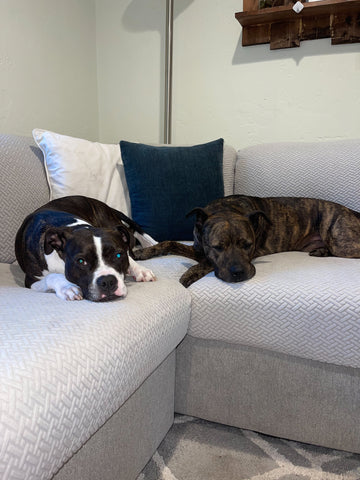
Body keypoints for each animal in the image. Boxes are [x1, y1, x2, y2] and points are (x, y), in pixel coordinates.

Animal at [14, 195, 155, 300]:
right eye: (81, 261)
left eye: (118, 255)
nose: (108, 281)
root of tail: (104, 205)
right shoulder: (31, 280)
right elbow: (51, 276)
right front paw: (68, 287)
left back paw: (140, 269)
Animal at [133, 194, 360, 286]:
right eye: (218, 246)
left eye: (248, 245)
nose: (238, 273)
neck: (227, 209)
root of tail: (353, 212)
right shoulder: (198, 247)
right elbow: (168, 243)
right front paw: (141, 252)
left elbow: (206, 262)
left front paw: (188, 274)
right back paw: (321, 251)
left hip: (341, 241)